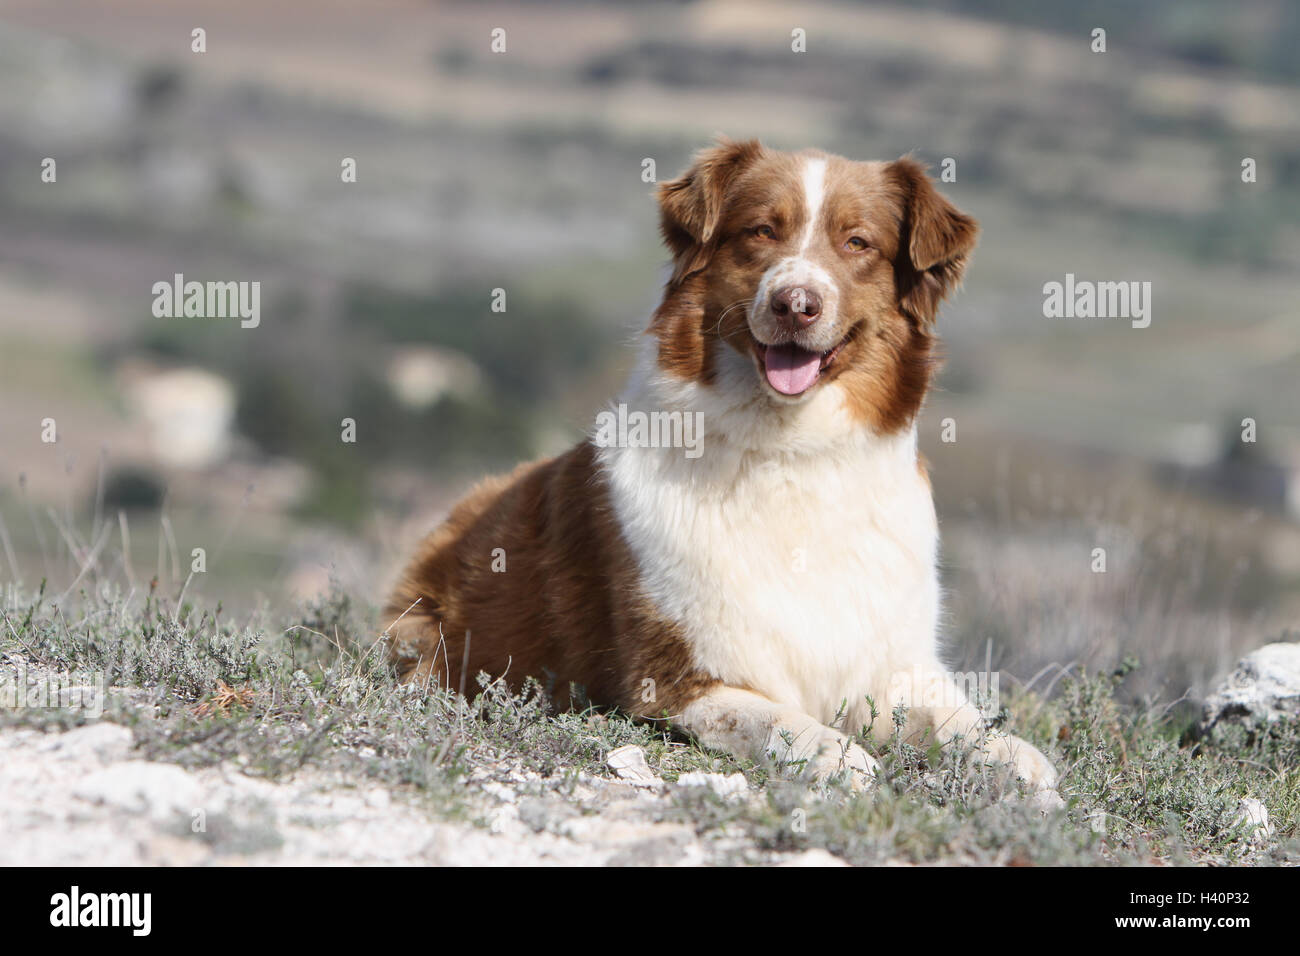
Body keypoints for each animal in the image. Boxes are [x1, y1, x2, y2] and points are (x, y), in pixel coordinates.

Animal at [384, 136, 1055, 790]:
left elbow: (960, 723)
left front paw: (1016, 758)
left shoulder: (896, 664)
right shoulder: (676, 680)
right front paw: (837, 754)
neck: (790, 452)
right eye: (760, 231)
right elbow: (778, 721)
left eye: (857, 242)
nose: (796, 304)